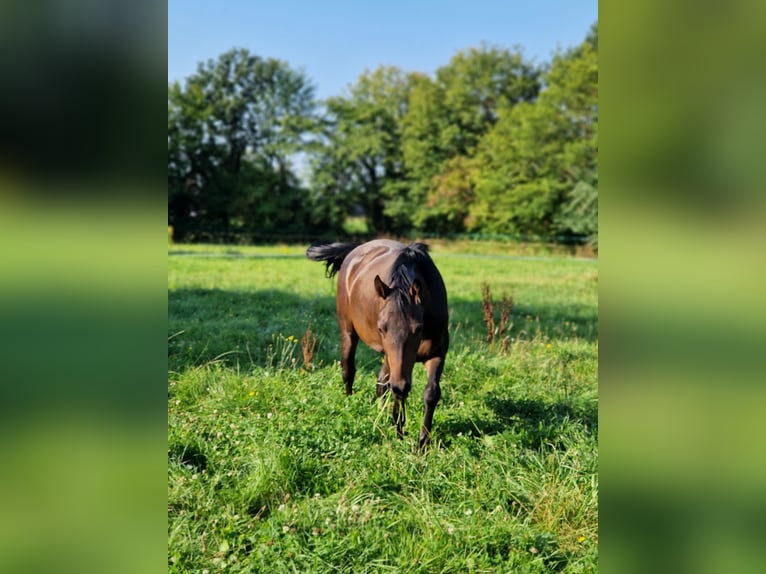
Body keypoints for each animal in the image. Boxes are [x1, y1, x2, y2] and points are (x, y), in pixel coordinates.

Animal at [306, 238, 450, 450]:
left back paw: (379, 412)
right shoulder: (394, 359)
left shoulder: (437, 353)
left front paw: (421, 443)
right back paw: (350, 403)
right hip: (348, 333)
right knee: (349, 369)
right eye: (381, 328)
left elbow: (430, 393)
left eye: (418, 328)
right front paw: (399, 432)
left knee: (382, 380)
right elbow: (395, 390)